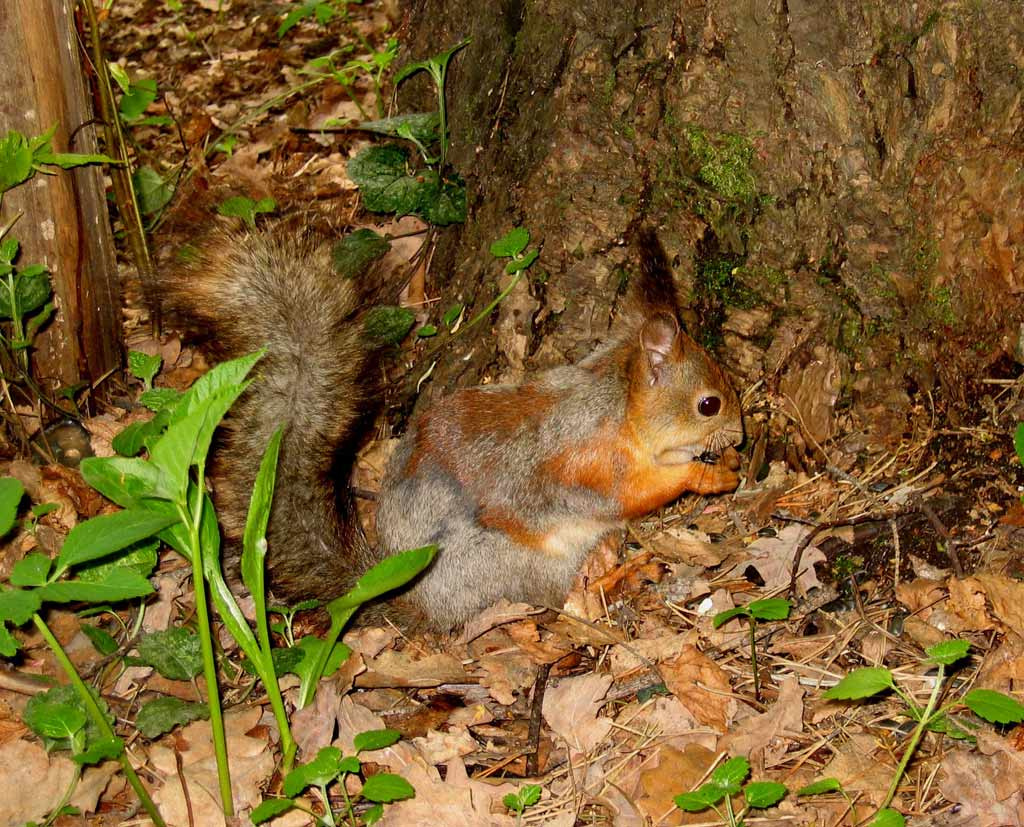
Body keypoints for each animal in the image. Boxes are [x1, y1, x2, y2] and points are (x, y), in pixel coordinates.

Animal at [157, 225, 744, 630]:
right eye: (708, 404)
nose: (740, 436)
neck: (616, 408)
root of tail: (415, 598)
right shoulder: (592, 463)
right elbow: (635, 493)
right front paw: (707, 476)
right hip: (515, 561)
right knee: (554, 598)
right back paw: (614, 575)